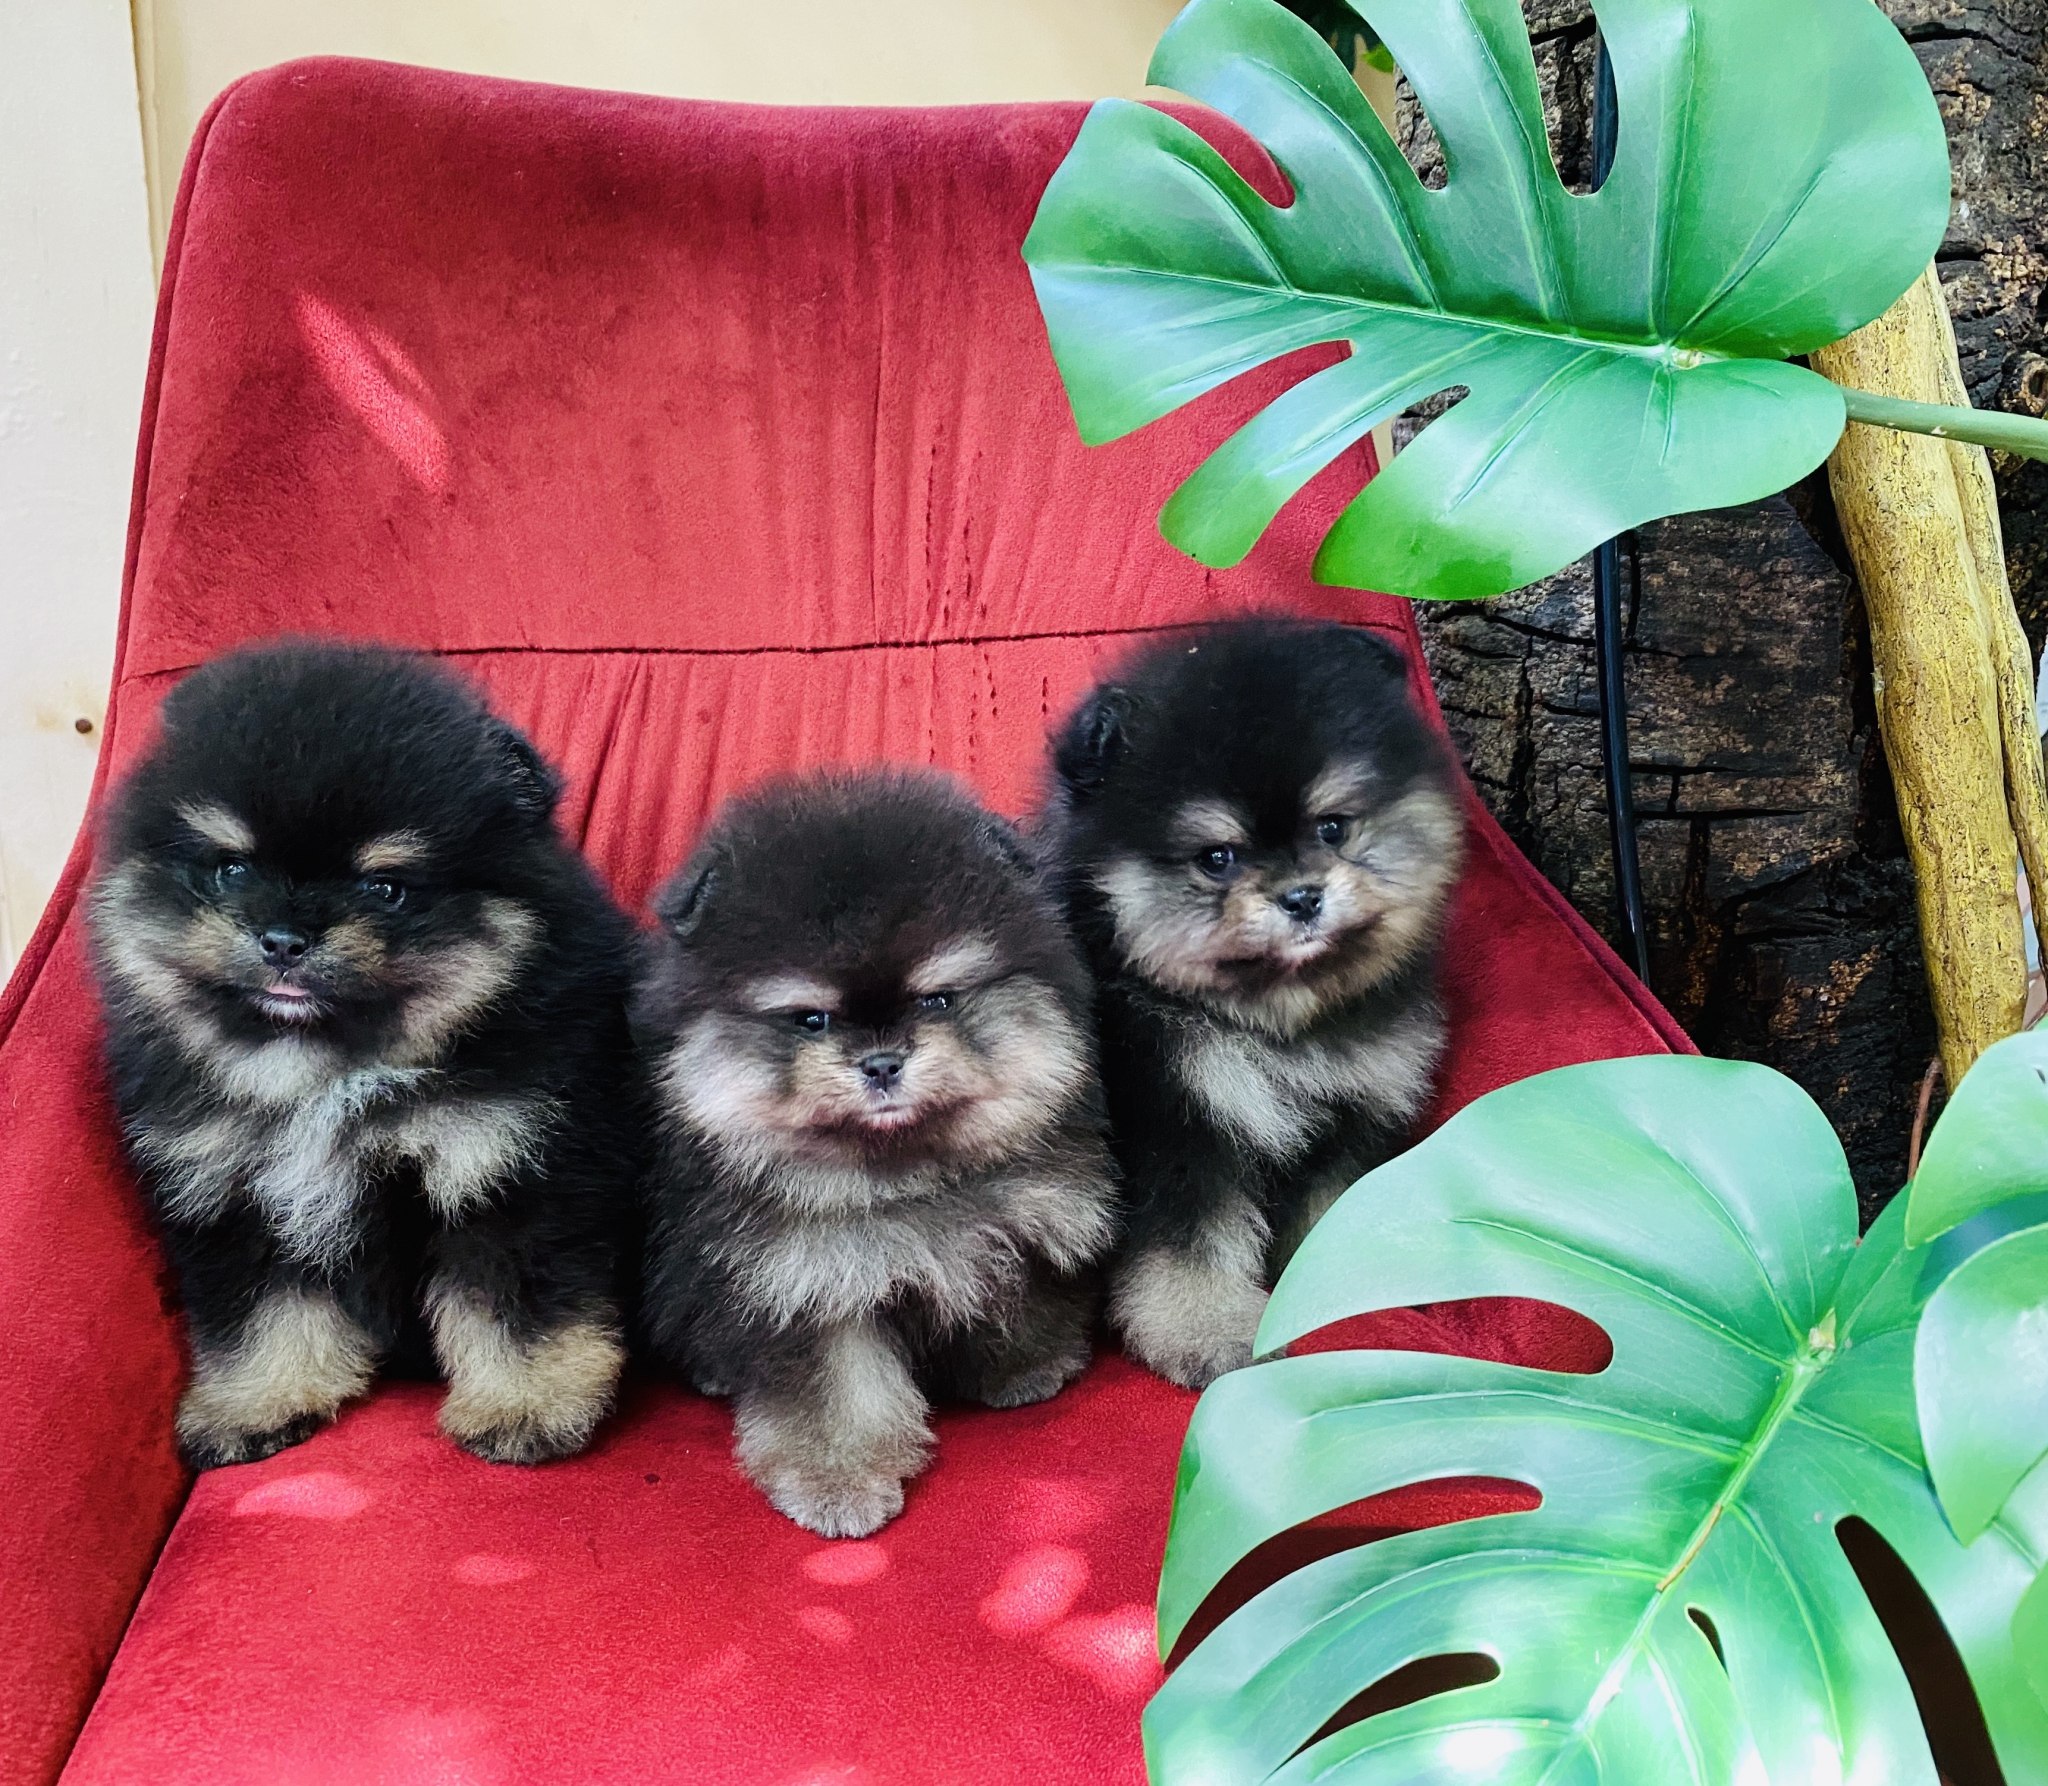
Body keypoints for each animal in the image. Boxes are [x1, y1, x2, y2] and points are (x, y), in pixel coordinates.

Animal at [88, 639, 640, 1468]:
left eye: (385, 887)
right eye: (232, 868)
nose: (284, 940)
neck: (326, 1075)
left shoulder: (508, 1165)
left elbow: (514, 1306)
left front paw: (526, 1406)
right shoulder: (231, 1192)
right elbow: (258, 1314)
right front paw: (258, 1402)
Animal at [634, 770, 1117, 1538]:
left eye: (937, 1000)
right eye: (812, 1019)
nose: (883, 1063)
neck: (902, 1178)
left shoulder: (1017, 1228)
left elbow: (1014, 1295)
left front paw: (1024, 1368)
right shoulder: (805, 1284)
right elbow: (838, 1393)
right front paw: (839, 1482)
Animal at [1047, 617, 1464, 1388]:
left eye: (1332, 827)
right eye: (1218, 858)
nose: (1302, 896)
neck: (1274, 1026)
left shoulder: (1349, 1119)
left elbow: (1331, 1211)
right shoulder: (1177, 1127)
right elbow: (1187, 1247)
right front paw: (1209, 1332)